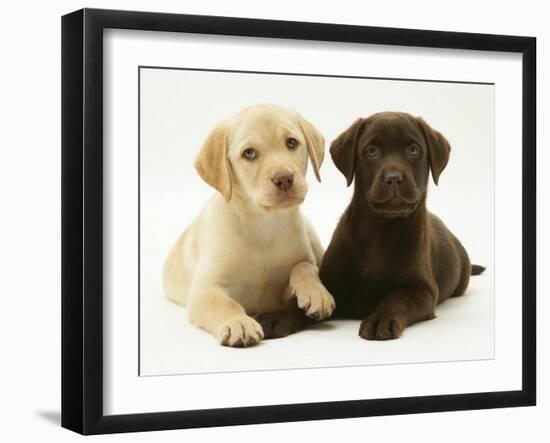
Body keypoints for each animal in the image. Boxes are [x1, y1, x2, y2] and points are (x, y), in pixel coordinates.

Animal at [164, 104, 336, 346]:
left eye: (291, 143)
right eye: (249, 153)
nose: (284, 178)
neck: (263, 224)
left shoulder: (287, 281)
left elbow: (304, 266)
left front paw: (316, 293)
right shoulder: (205, 290)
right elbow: (225, 304)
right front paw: (239, 323)